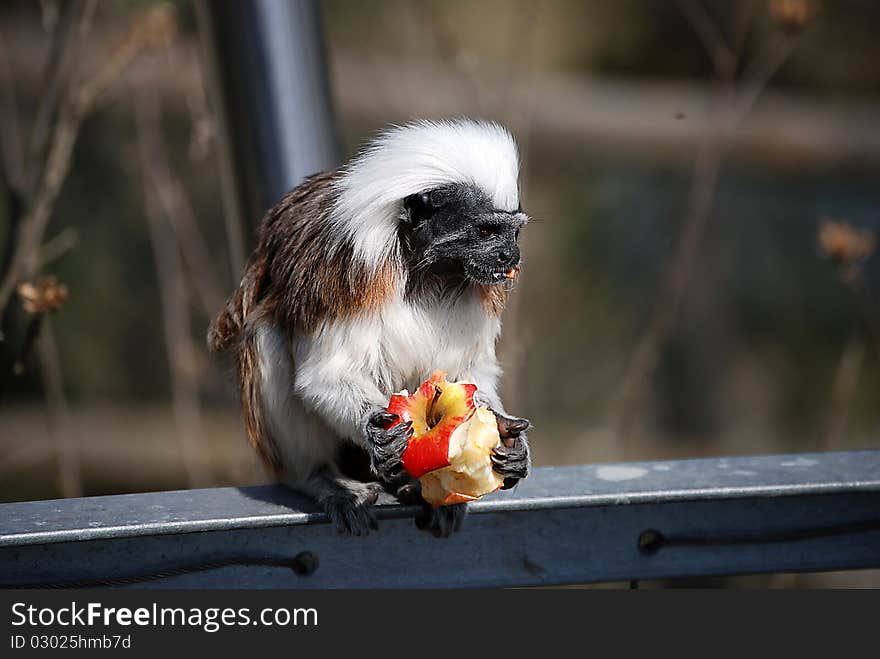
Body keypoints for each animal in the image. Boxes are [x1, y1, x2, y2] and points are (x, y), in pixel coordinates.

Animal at [208, 119, 531, 537]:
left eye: (513, 233)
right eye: (486, 231)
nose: (512, 256)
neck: (422, 269)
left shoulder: (480, 285)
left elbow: (473, 371)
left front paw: (509, 438)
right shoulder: (344, 270)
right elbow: (324, 376)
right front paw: (377, 434)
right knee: (266, 337)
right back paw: (320, 478)